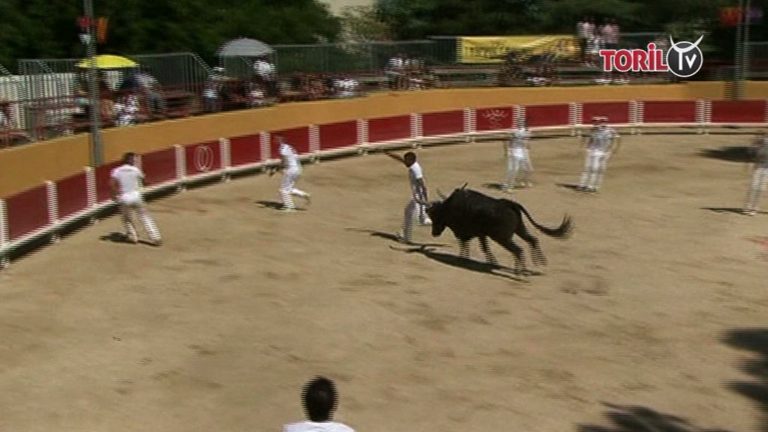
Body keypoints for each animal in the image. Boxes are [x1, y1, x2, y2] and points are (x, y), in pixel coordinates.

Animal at [424, 187, 572, 272]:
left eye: (435, 216)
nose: (434, 233)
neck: (449, 207)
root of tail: (509, 203)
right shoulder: (480, 234)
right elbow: (480, 247)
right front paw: (489, 262)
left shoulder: (468, 232)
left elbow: (470, 245)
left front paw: (466, 258)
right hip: (519, 229)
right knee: (532, 240)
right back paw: (537, 263)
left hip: (503, 237)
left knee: (518, 249)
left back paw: (520, 271)